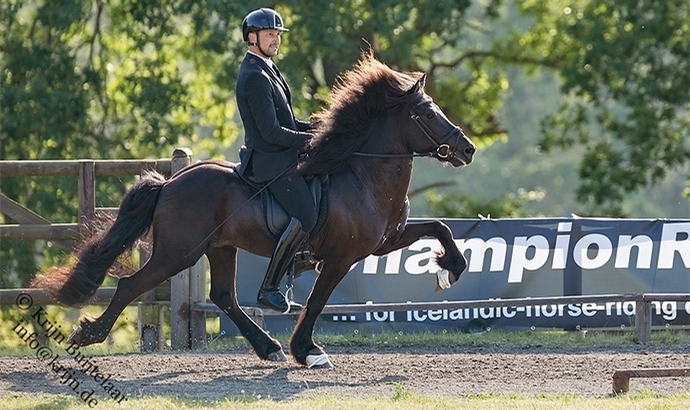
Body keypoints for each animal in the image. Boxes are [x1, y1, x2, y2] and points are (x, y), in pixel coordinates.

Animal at [32, 52, 472, 366]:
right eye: (426, 113)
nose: (467, 149)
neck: (362, 174)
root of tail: (170, 182)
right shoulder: (341, 256)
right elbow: (317, 302)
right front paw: (307, 351)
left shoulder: (383, 241)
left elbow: (440, 227)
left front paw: (450, 269)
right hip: (179, 252)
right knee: (130, 285)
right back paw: (90, 334)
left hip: (220, 248)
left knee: (224, 296)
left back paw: (268, 347)